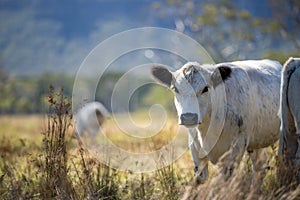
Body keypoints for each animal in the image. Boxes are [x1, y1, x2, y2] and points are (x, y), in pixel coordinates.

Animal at [151, 59, 282, 184]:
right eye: (175, 89)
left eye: (205, 89)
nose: (188, 117)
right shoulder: (195, 149)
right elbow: (200, 179)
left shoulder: (236, 148)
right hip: (256, 141)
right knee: (261, 167)